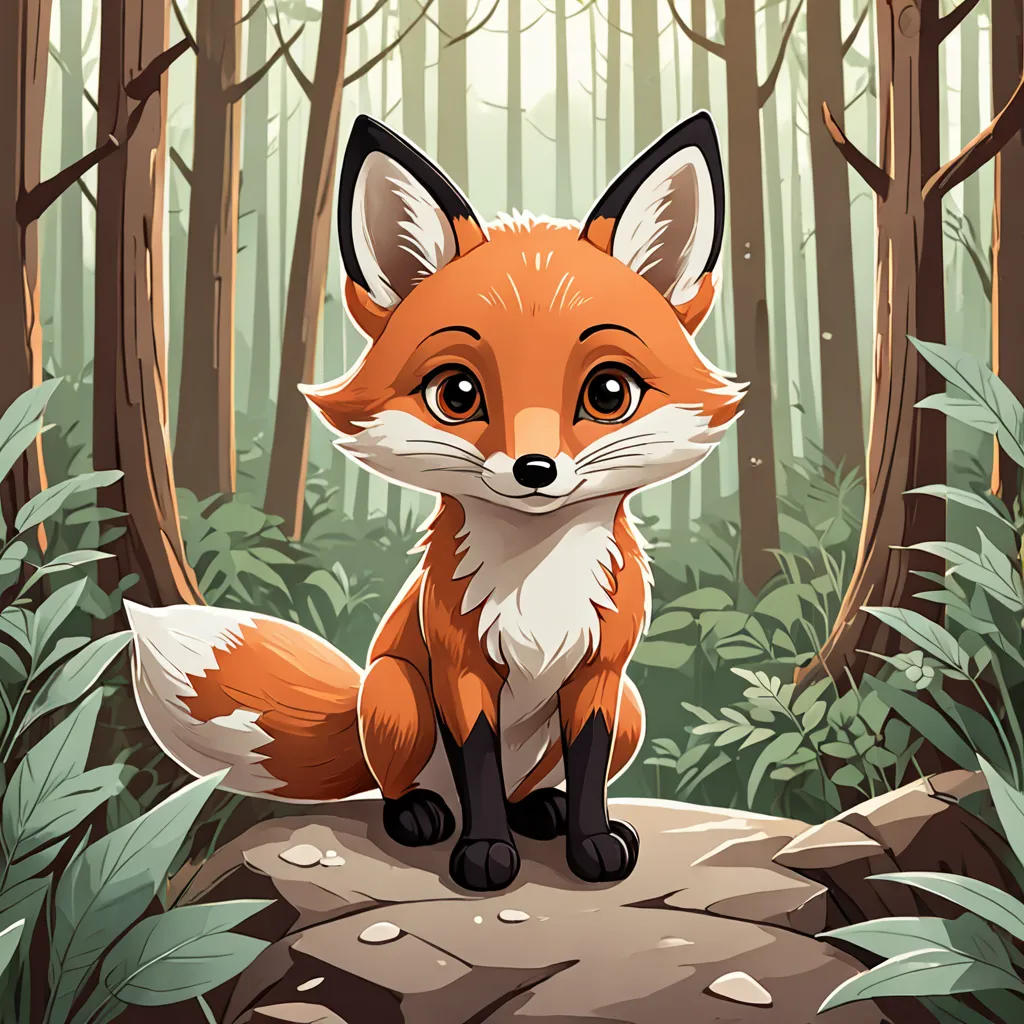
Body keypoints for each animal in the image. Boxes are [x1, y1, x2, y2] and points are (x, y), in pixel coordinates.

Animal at [126, 111, 743, 893]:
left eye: (609, 392)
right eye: (457, 393)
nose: (535, 469)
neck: (537, 581)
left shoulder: (601, 675)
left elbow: (589, 768)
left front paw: (591, 843)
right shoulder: (459, 669)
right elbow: (476, 763)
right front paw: (484, 856)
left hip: (629, 708)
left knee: (529, 785)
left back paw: (540, 809)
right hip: (395, 695)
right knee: (403, 784)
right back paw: (419, 815)